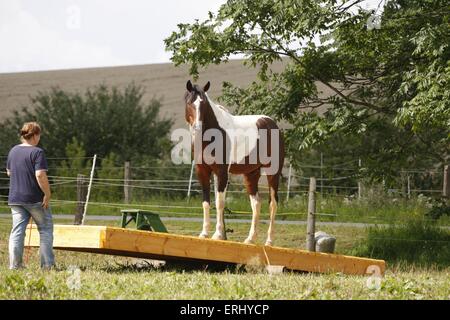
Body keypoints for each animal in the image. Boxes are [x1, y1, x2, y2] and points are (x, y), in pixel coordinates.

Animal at [184, 80, 284, 245]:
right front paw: (204, 233)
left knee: (273, 204)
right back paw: (250, 239)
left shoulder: (222, 172)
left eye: (203, 103)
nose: (197, 128)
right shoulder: (202, 171)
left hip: (273, 173)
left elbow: (219, 202)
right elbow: (206, 202)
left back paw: (269, 241)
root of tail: (271, 123)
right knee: (256, 203)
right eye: (189, 102)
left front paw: (218, 235)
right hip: (251, 174)